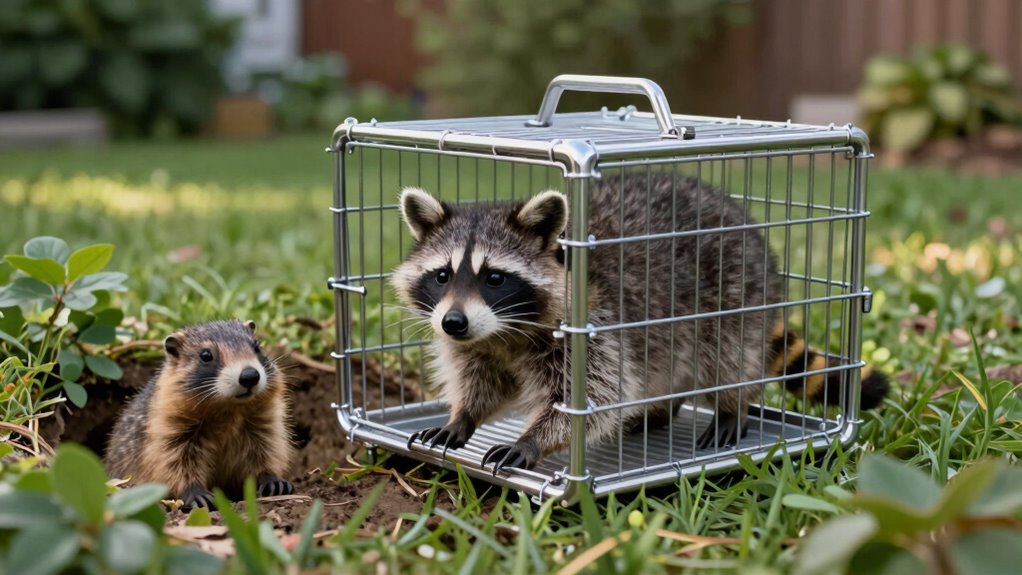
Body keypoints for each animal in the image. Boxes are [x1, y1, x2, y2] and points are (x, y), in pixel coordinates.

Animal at [392, 173, 887, 473]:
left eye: (494, 278)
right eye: (442, 275)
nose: (453, 323)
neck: (504, 332)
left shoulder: (593, 330)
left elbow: (594, 397)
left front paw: (533, 438)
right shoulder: (475, 343)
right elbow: (481, 381)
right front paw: (463, 416)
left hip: (737, 293)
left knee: (728, 356)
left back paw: (733, 405)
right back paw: (661, 408)